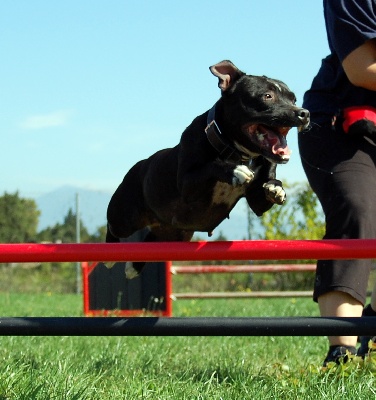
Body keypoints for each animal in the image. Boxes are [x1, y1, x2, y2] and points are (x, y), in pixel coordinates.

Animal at [105, 60, 308, 278]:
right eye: (267, 96)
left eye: (293, 98)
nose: (304, 113)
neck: (236, 151)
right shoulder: (187, 185)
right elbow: (211, 166)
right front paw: (234, 171)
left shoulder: (256, 200)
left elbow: (265, 191)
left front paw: (276, 188)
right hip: (125, 218)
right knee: (113, 226)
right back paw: (111, 256)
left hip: (174, 233)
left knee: (153, 238)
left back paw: (134, 266)